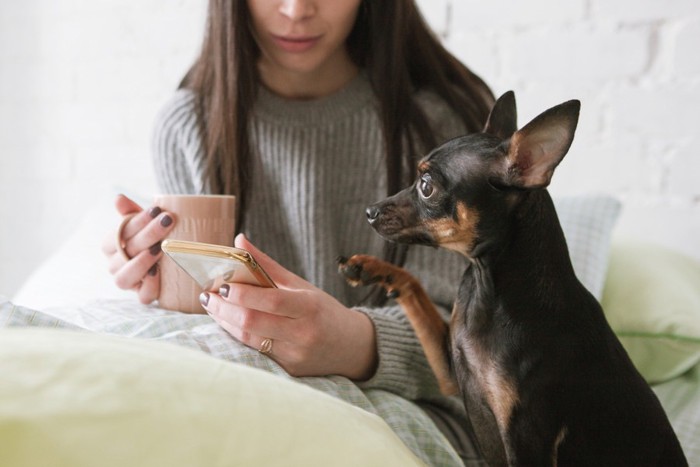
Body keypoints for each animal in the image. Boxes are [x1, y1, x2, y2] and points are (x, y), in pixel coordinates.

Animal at [336, 92, 688, 467]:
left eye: (426, 187)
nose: (370, 211)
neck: (486, 287)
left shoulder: (526, 435)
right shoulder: (449, 375)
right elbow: (416, 290)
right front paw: (370, 267)